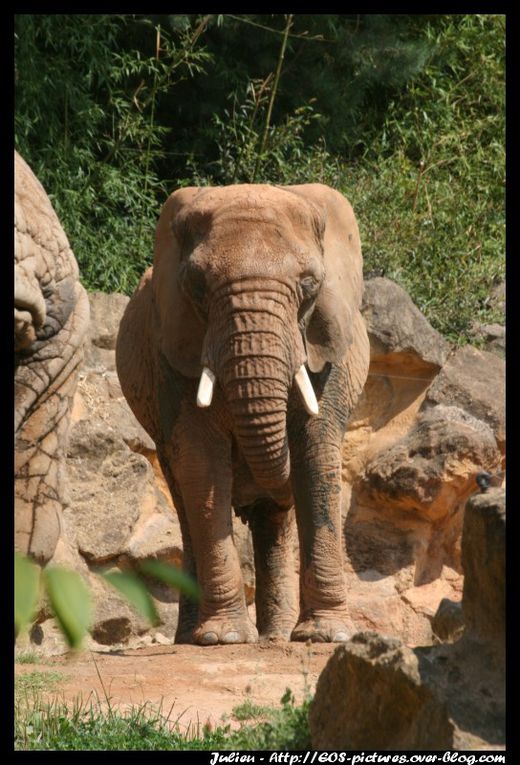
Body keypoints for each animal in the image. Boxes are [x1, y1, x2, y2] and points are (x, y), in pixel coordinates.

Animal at [117, 185, 370, 644]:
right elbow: (201, 463)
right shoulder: (172, 355)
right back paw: (194, 638)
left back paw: (277, 637)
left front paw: (326, 636)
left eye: (309, 285)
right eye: (198, 286)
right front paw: (223, 639)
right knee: (186, 504)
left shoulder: (329, 353)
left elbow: (317, 457)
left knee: (276, 518)